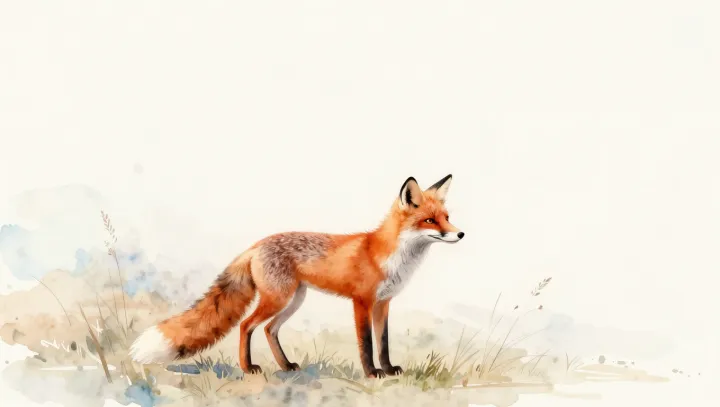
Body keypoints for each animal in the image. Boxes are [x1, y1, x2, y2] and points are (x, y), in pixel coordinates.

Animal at [130, 174, 464, 378]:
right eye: (430, 220)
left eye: (447, 218)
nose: (460, 234)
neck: (389, 255)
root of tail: (256, 245)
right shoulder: (362, 302)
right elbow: (366, 344)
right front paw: (371, 373)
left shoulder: (384, 303)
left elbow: (383, 343)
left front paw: (389, 368)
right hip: (278, 299)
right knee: (246, 325)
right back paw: (248, 367)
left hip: (294, 300)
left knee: (269, 330)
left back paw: (286, 365)